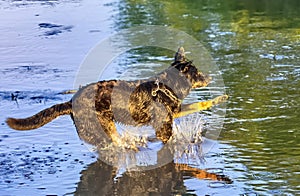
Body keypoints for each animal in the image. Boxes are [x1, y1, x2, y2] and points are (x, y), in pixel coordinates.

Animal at [6, 46, 227, 146]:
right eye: (197, 73)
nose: (210, 77)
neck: (165, 87)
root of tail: (70, 102)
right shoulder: (164, 125)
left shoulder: (176, 111)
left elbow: (201, 103)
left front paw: (220, 99)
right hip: (103, 125)